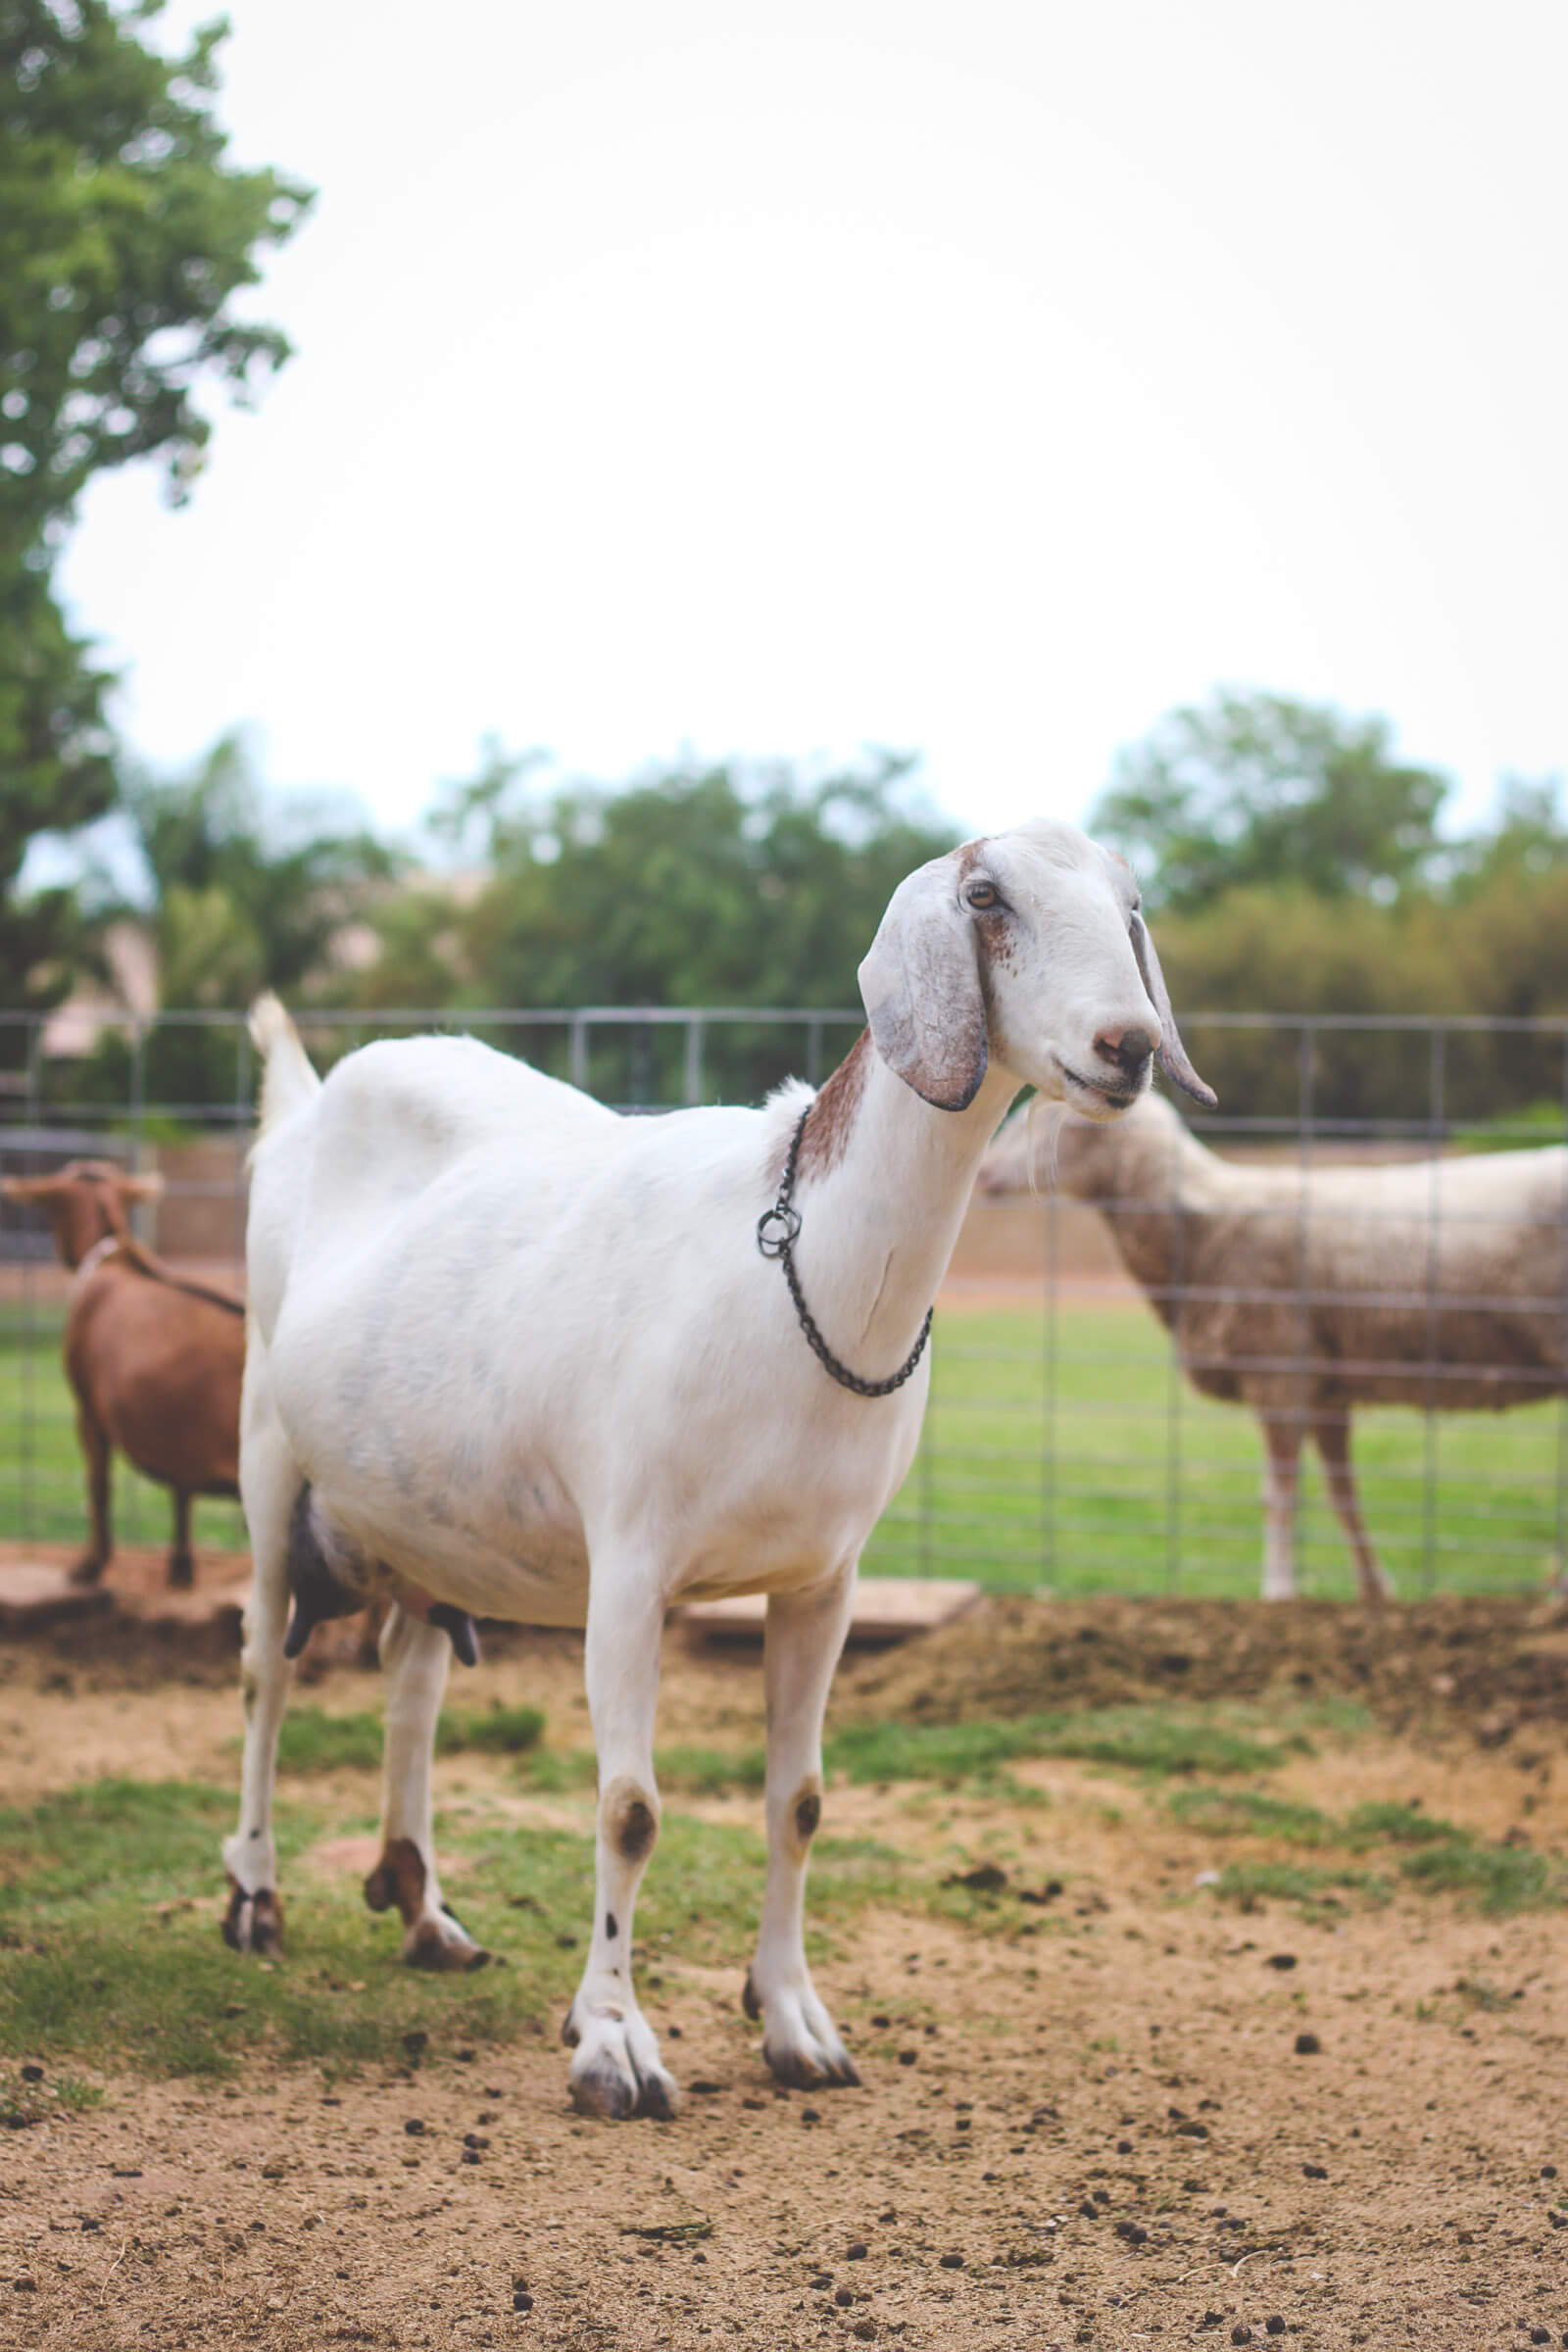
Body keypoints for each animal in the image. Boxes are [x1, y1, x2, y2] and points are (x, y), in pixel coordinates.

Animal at [1, 1161, 243, 1590]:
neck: (114, 1257)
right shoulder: (181, 1433)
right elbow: (182, 1491)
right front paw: (181, 1568)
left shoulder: (87, 1408)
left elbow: (99, 1484)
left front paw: (90, 1565)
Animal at [226, 818, 1222, 2126]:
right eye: (986, 898)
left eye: (1130, 904)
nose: (1128, 1044)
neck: (798, 1273)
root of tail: (302, 1102)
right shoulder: (628, 1567)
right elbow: (630, 1809)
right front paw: (611, 2045)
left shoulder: (822, 1580)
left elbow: (798, 1801)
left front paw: (796, 2025)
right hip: (266, 1448)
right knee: (263, 1674)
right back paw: (255, 1899)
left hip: (425, 1513)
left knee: (411, 1676)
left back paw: (421, 1905)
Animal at [982, 1091, 1568, 1608]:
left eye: (1050, 1122)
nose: (984, 1176)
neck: (1204, 1226)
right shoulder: (1327, 1389)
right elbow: (1342, 1495)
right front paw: (1374, 1590)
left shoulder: (1278, 1371)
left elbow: (1278, 1496)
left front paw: (1278, 1591)